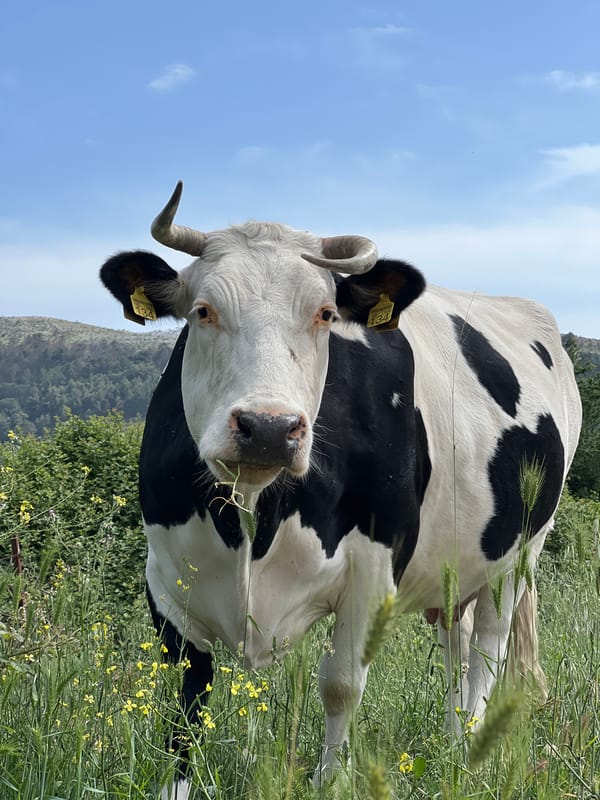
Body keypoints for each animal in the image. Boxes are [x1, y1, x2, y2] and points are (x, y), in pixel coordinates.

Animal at [100, 182, 581, 799]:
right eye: (202, 311)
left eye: (325, 314)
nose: (269, 428)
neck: (253, 523)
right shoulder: (164, 574)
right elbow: (187, 698)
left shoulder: (374, 565)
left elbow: (341, 684)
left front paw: (330, 779)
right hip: (455, 566)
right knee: (457, 637)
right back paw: (452, 738)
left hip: (521, 553)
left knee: (488, 647)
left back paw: (470, 747)